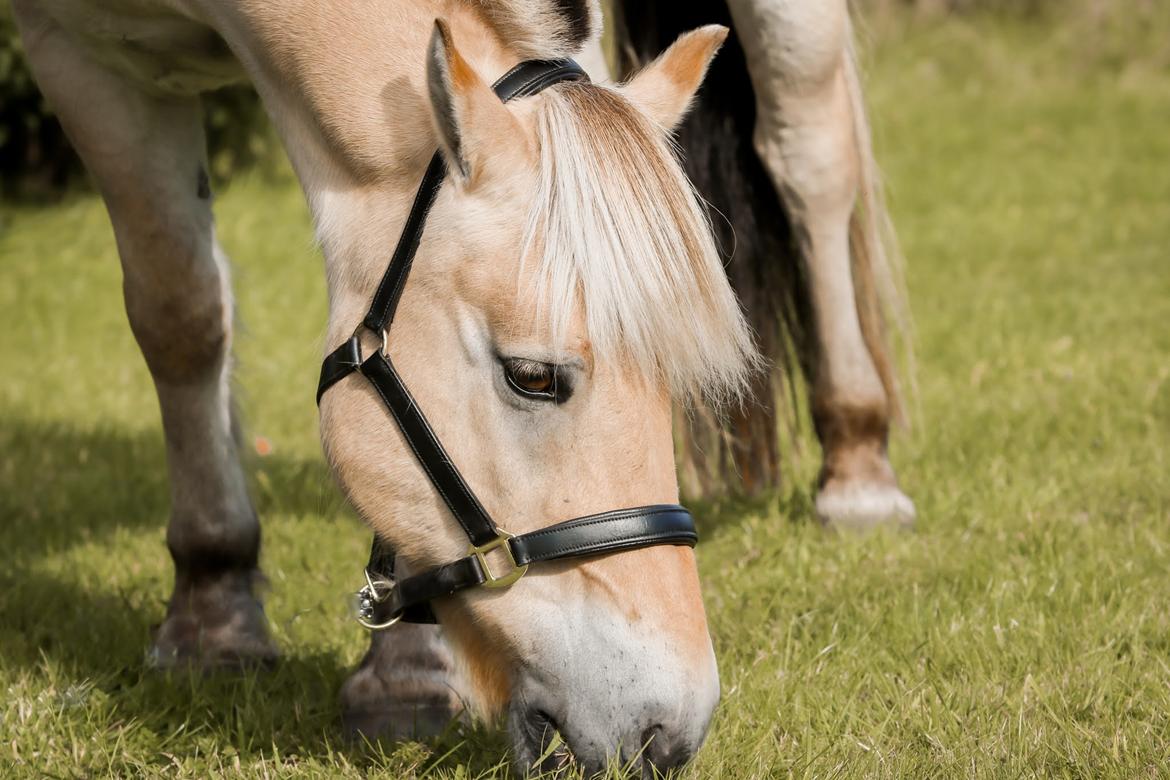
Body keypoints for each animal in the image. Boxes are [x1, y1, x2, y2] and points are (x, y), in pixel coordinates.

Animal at [11, 0, 912, 776]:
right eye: (533, 376)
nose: (670, 729)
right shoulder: (78, 54)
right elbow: (181, 310)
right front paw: (212, 614)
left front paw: (409, 675)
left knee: (811, 153)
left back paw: (859, 463)